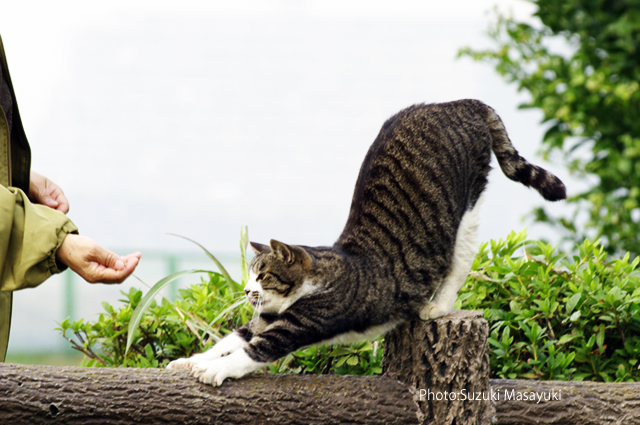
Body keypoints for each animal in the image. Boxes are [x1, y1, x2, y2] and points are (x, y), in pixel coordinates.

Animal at [168, 98, 568, 384]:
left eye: (263, 275)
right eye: (250, 274)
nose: (247, 290)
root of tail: (460, 102)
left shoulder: (301, 323)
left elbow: (253, 351)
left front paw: (214, 371)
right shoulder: (261, 320)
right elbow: (230, 340)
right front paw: (190, 361)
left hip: (467, 208)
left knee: (462, 257)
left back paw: (437, 306)